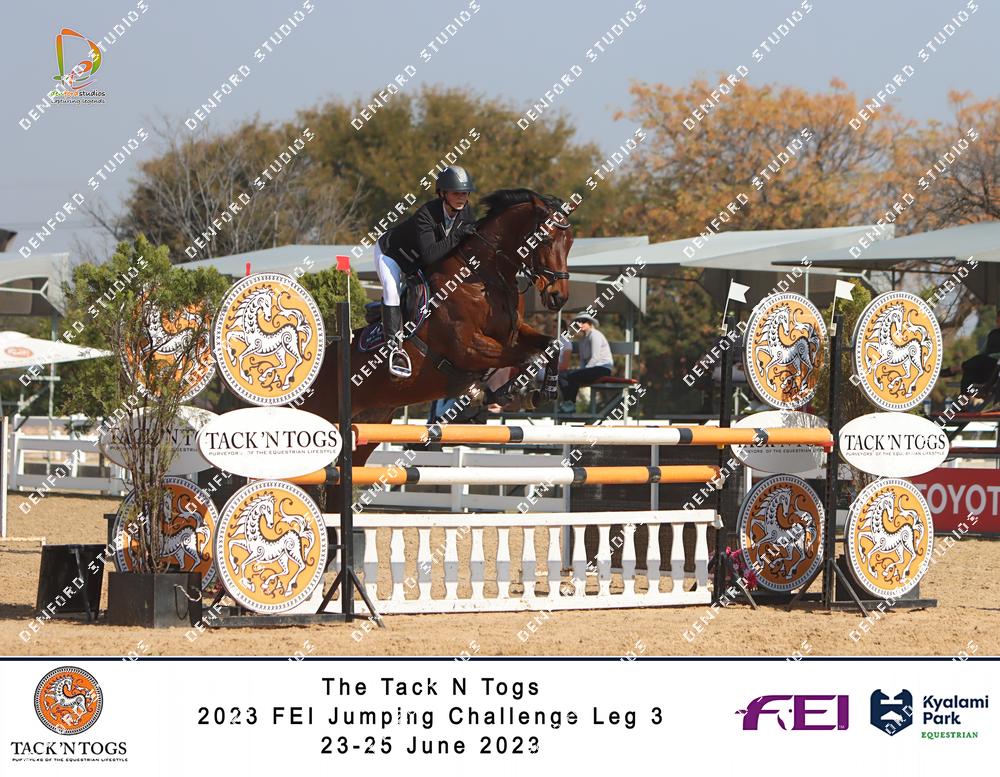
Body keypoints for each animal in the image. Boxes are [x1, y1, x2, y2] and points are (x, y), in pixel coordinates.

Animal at [300, 188, 573, 510]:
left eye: (569, 242)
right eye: (545, 239)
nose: (558, 297)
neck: (483, 277)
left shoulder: (513, 335)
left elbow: (549, 346)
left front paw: (543, 391)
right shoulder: (469, 347)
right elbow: (524, 358)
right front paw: (506, 392)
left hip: (369, 423)